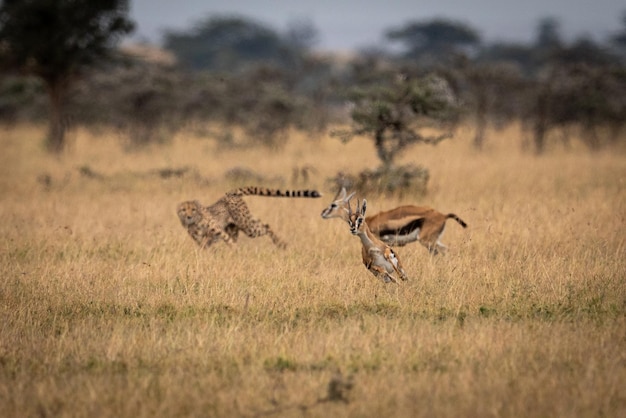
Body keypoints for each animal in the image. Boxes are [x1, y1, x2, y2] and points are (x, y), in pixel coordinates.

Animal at [177, 188, 320, 250]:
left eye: (193, 209)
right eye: (183, 210)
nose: (188, 216)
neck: (195, 222)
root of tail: (231, 193)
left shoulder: (217, 230)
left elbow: (225, 241)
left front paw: (236, 251)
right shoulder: (200, 238)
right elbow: (204, 245)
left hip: (247, 226)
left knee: (266, 225)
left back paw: (280, 243)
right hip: (236, 227)